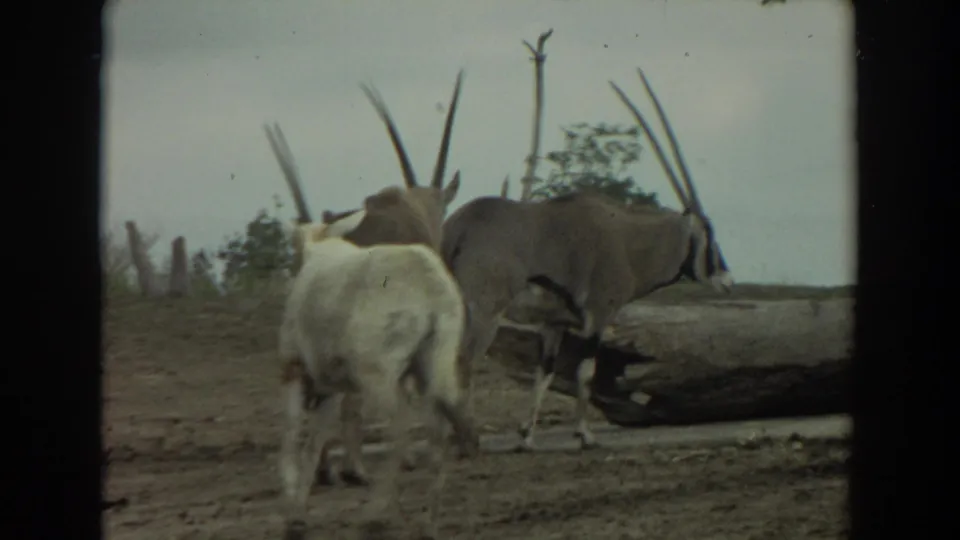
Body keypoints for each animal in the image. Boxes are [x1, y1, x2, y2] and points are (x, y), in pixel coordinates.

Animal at [278, 219, 479, 540]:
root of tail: (429, 286)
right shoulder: (331, 386)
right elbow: (313, 444)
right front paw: (298, 513)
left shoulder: (292, 368)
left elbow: (291, 432)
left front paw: (291, 512)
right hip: (433, 362)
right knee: (438, 431)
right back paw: (428, 521)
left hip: (378, 371)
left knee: (399, 431)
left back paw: (375, 514)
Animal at [440, 68, 734, 450]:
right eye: (709, 232)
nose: (727, 279)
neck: (627, 239)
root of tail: (459, 227)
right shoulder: (598, 314)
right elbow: (586, 372)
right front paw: (585, 434)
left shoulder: (553, 324)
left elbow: (545, 373)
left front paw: (526, 436)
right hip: (486, 312)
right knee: (464, 361)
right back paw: (464, 438)